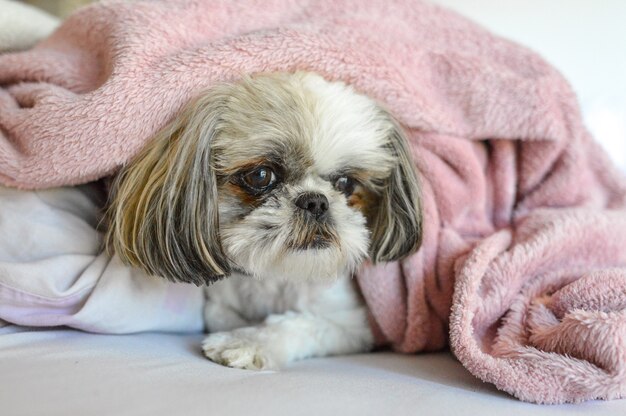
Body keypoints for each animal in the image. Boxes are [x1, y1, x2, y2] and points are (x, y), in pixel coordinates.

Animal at [105, 71, 422, 370]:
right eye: (260, 175)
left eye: (346, 182)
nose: (316, 201)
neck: (277, 276)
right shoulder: (219, 306)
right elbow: (223, 315)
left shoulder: (351, 326)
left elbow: (298, 323)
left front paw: (248, 342)